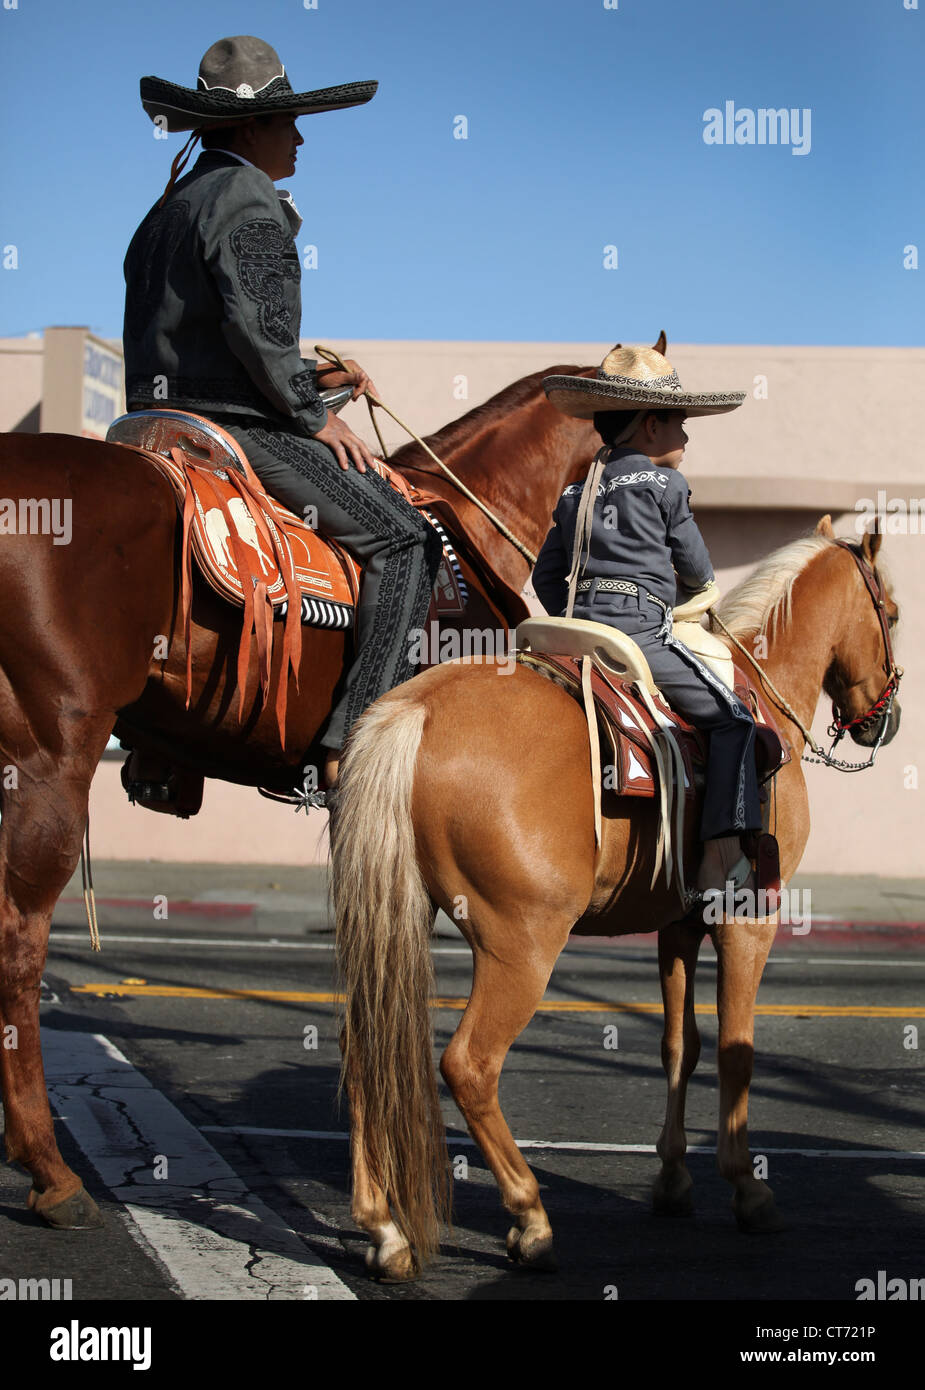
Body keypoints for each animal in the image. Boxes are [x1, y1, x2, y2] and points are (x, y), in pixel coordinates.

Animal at [333, 517, 901, 1273]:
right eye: (892, 611)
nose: (885, 720)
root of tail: (413, 712)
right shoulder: (748, 920)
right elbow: (736, 1050)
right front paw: (747, 1191)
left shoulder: (679, 923)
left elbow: (679, 1045)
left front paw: (673, 1181)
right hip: (522, 945)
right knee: (469, 1065)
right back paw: (530, 1218)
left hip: (396, 916)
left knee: (363, 1044)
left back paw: (383, 1228)